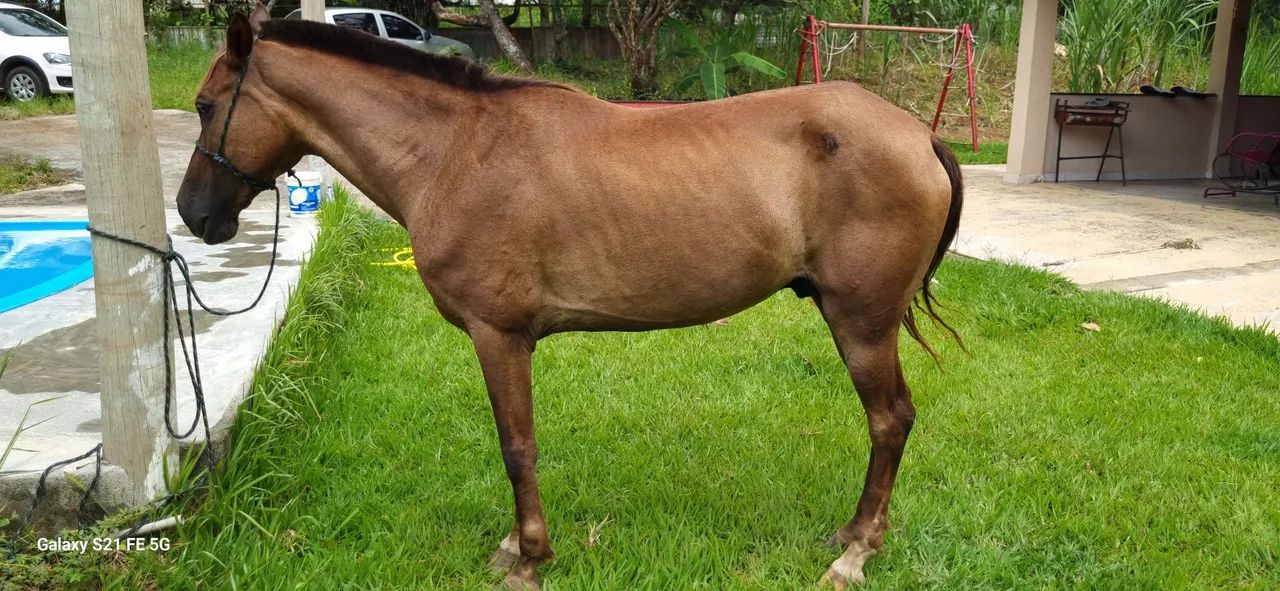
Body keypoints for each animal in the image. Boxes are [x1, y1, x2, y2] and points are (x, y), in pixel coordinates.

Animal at [177, 5, 963, 589]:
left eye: (206, 104)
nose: (192, 213)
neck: (454, 153)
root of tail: (918, 136)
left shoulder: (499, 334)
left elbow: (516, 445)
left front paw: (528, 556)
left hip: (861, 322)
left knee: (891, 420)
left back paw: (856, 553)